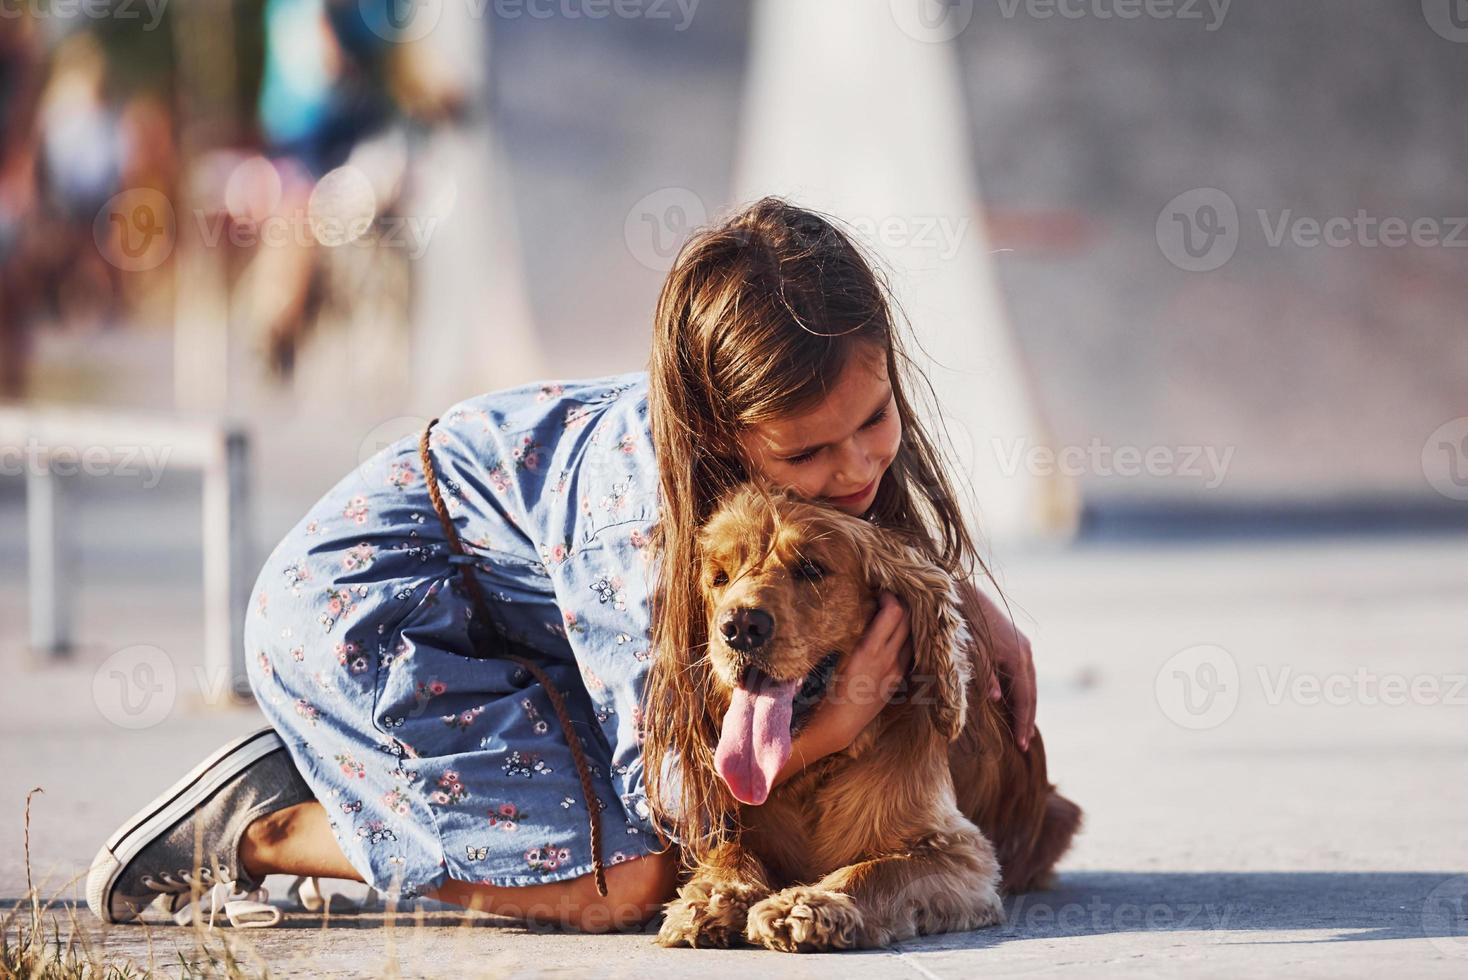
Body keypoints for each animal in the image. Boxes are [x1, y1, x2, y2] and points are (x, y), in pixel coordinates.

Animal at [654, 487, 1080, 950]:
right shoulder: (732, 824)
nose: (741, 626)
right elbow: (729, 851)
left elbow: (876, 869)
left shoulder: (960, 851)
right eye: (719, 577)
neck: (817, 771)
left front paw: (808, 904)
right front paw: (712, 898)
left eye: (811, 568)